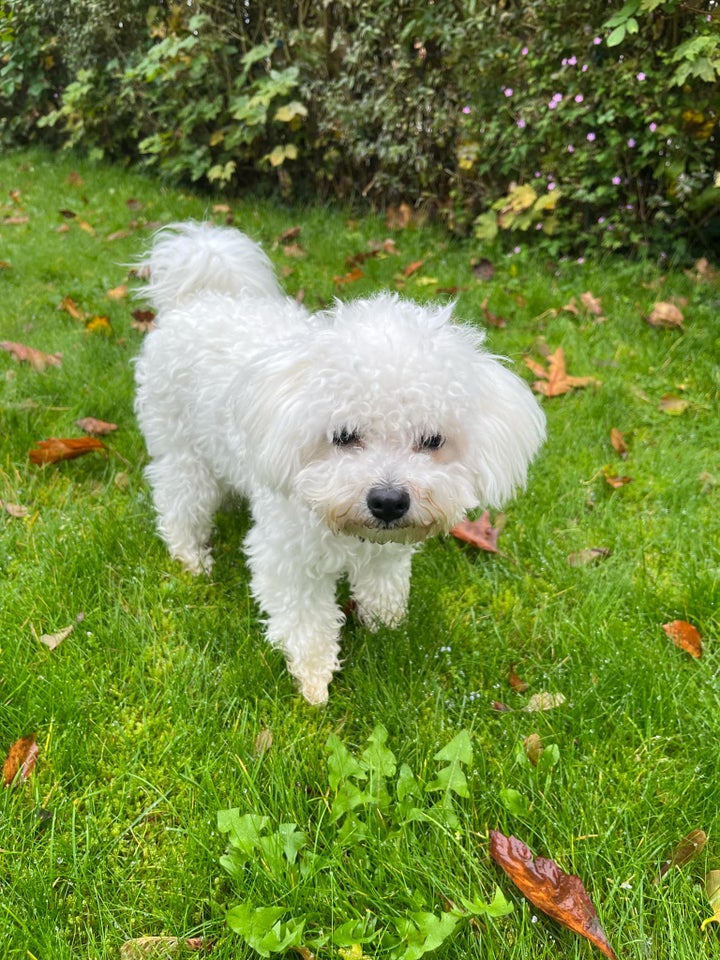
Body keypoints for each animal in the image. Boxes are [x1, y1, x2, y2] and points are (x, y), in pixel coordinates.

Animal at [134, 225, 544, 704]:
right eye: (344, 436)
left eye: (432, 440)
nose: (388, 501)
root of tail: (199, 299)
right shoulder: (288, 559)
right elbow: (306, 622)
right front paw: (314, 679)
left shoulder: (387, 552)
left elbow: (384, 587)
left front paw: (386, 627)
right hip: (182, 449)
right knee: (179, 502)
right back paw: (191, 559)